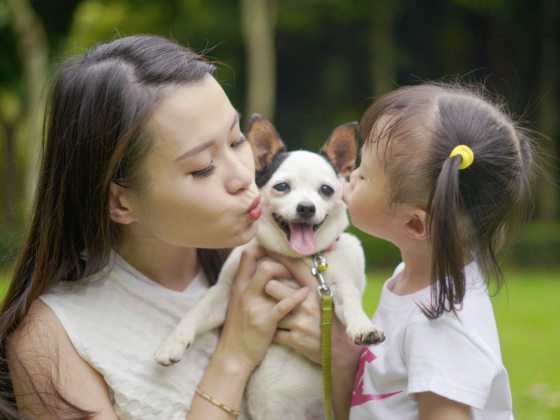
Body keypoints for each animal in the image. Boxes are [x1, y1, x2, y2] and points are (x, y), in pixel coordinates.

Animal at [158, 115, 384, 420]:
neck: (300, 257)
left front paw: (363, 327)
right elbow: (195, 313)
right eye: (282, 187)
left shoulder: (337, 287)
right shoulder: (224, 293)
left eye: (326, 190)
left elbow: (350, 303)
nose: (306, 207)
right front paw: (172, 343)